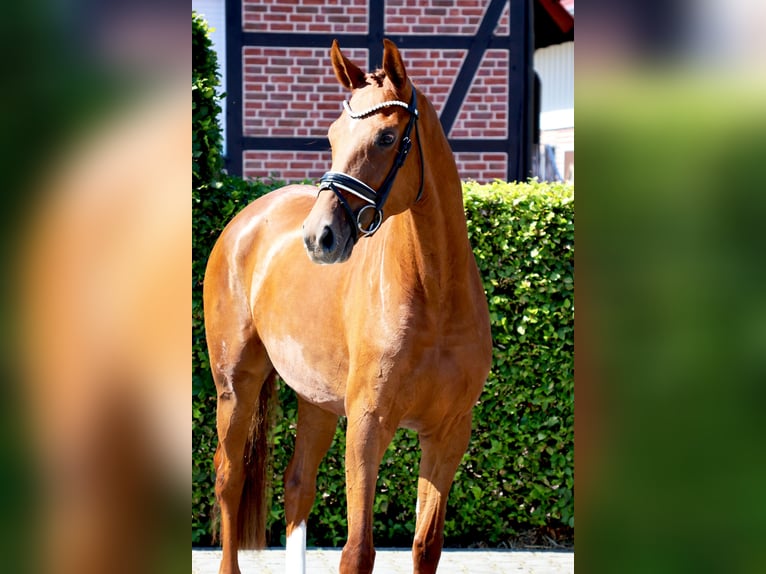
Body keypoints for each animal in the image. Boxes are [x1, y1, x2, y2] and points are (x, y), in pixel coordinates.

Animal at [203, 39, 492, 574]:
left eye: (386, 137)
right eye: (333, 135)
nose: (319, 237)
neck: (435, 294)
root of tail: (246, 220)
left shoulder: (448, 434)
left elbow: (427, 546)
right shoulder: (366, 425)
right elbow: (358, 551)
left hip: (315, 398)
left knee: (297, 486)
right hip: (236, 385)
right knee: (228, 480)